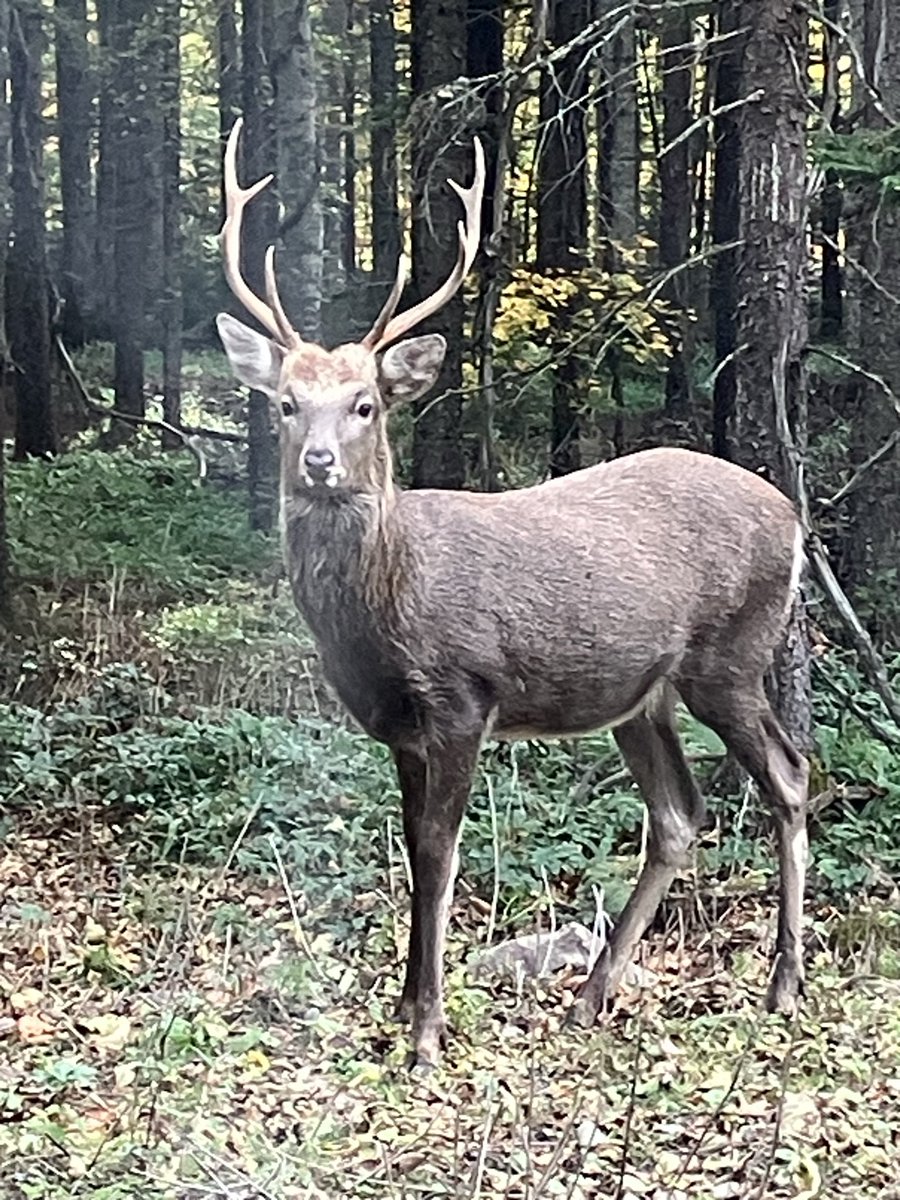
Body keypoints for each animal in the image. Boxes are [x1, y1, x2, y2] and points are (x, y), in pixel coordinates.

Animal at [215, 119, 810, 1069]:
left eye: (366, 403)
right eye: (284, 402)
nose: (319, 461)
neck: (388, 608)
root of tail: (793, 519)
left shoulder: (464, 697)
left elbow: (438, 854)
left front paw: (426, 1032)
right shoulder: (398, 725)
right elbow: (409, 848)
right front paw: (404, 1008)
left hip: (730, 655)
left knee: (788, 778)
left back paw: (782, 985)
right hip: (640, 693)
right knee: (678, 813)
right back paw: (593, 994)